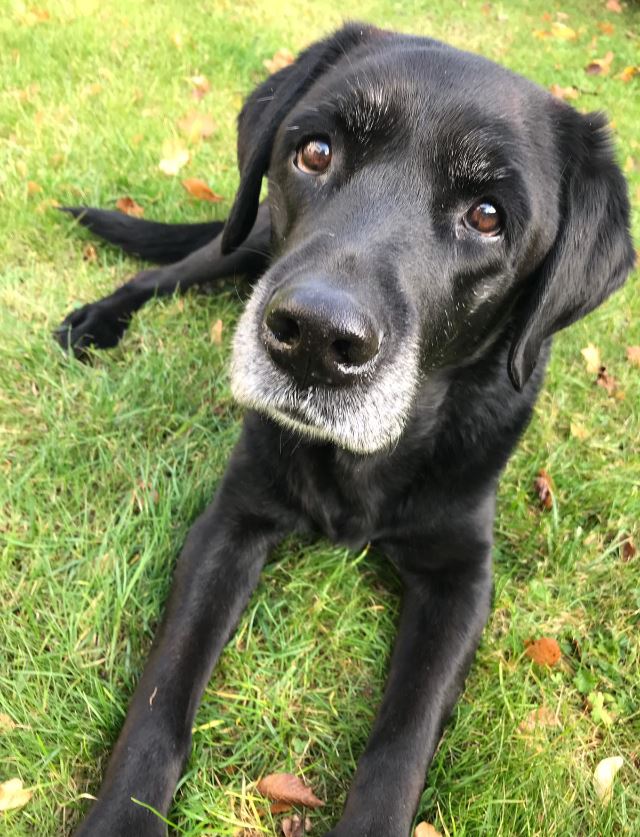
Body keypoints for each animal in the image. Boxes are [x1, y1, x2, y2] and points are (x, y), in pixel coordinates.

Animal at [56, 22, 636, 836]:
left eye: (488, 216)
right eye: (315, 151)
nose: (314, 338)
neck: (369, 458)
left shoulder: (462, 576)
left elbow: (402, 740)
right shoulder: (230, 522)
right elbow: (161, 697)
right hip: (243, 240)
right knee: (161, 273)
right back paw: (96, 321)